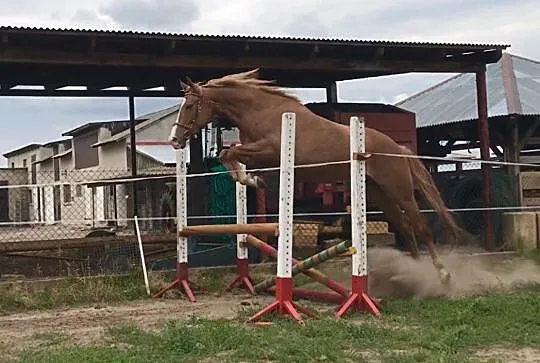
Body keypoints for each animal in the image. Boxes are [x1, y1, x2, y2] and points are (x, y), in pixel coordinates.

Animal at [169, 69, 460, 284]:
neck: (261, 111)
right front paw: (251, 180)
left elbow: (230, 153)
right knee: (405, 228)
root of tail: (397, 148)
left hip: (399, 189)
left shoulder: (270, 150)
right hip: (377, 192)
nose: (174, 140)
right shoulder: (259, 154)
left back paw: (443, 274)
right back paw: (413, 272)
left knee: (419, 226)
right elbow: (228, 154)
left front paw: (251, 180)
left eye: (191, 105)